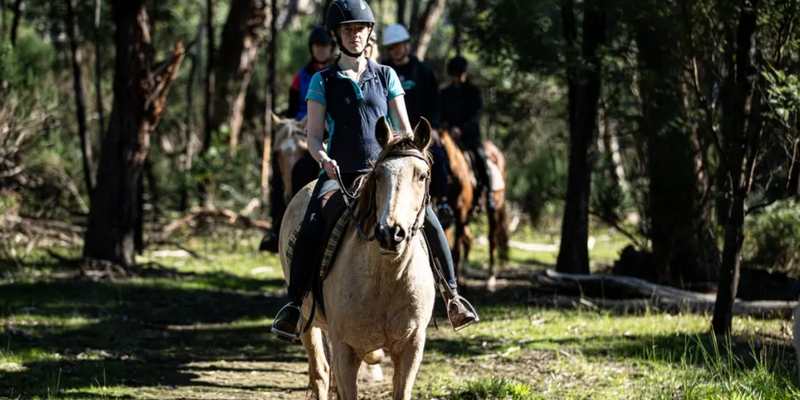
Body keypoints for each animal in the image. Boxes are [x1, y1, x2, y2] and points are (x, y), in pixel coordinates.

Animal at [279, 117, 436, 400]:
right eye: (378, 175)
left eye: (422, 175)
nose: (391, 233)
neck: (387, 279)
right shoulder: (345, 351)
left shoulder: (411, 347)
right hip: (307, 322)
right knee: (320, 373)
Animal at [438, 129, 509, 288]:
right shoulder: (447, 217)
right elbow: (447, 246)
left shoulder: (461, 214)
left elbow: (455, 250)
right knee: (469, 239)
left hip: (495, 210)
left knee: (492, 239)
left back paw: (490, 278)